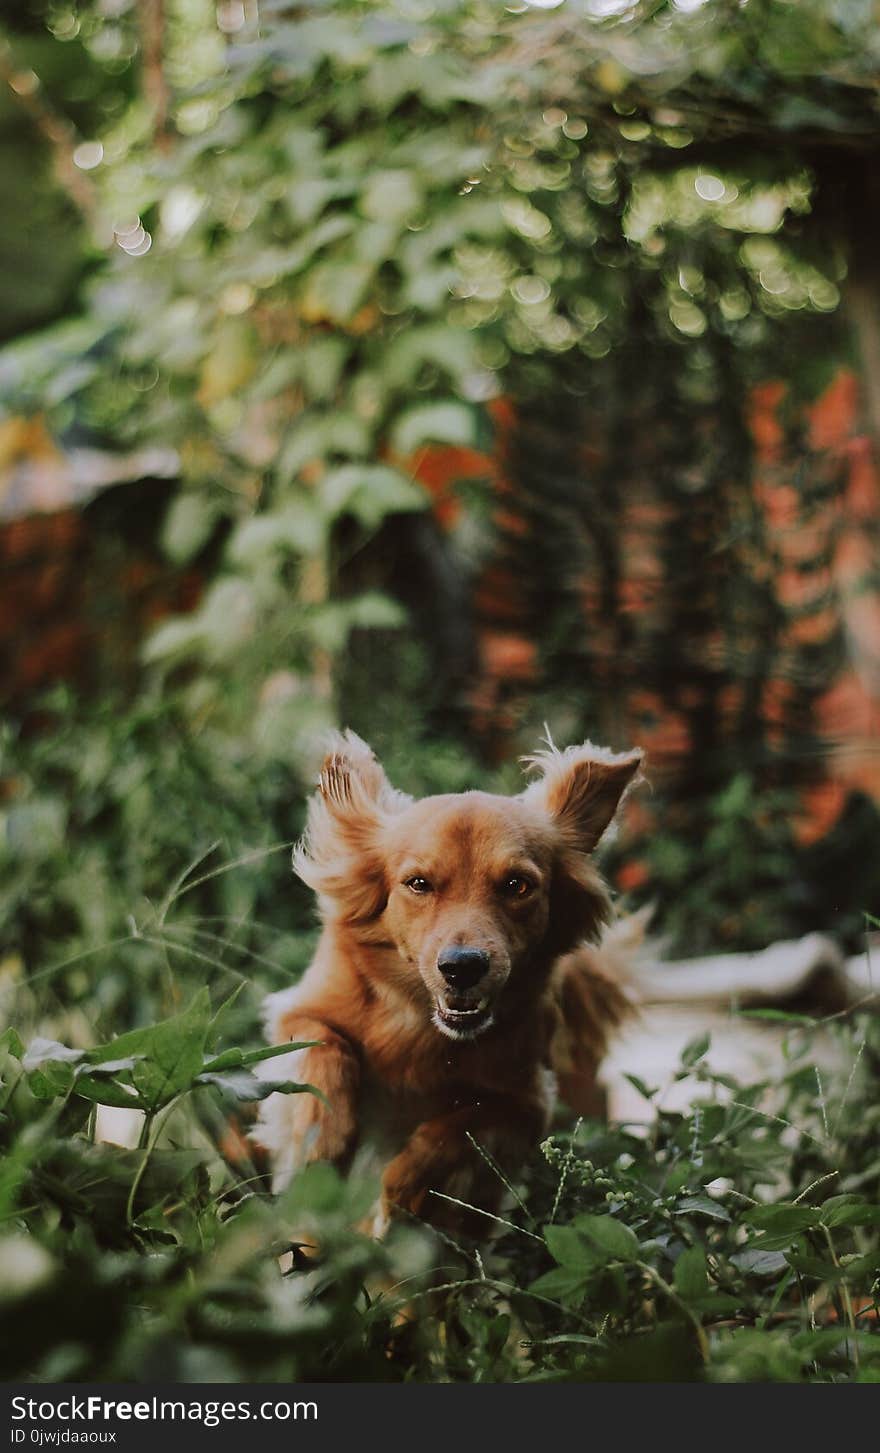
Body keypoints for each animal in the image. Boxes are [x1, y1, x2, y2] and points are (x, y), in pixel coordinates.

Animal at [254, 738, 641, 1237]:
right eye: (418, 884)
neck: (423, 1030)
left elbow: (459, 1126)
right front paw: (323, 1138)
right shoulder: (299, 1011)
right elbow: (325, 1047)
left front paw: (401, 1191)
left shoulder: (526, 1100)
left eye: (518, 885)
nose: (462, 967)